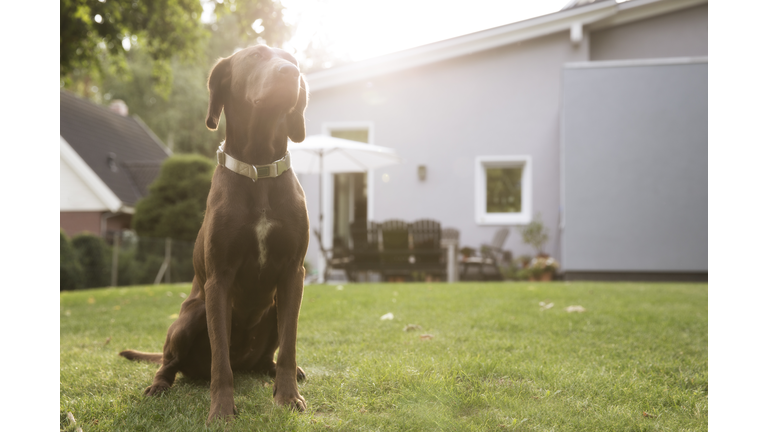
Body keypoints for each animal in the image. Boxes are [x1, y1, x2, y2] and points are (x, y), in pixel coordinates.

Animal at [119, 45, 308, 424]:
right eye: (255, 56)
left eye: (293, 61)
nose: (291, 74)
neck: (259, 168)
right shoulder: (219, 281)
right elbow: (220, 361)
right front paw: (221, 409)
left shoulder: (294, 275)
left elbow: (290, 345)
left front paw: (288, 396)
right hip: (190, 316)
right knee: (169, 363)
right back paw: (158, 385)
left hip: (274, 307)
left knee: (271, 356)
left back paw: (280, 373)